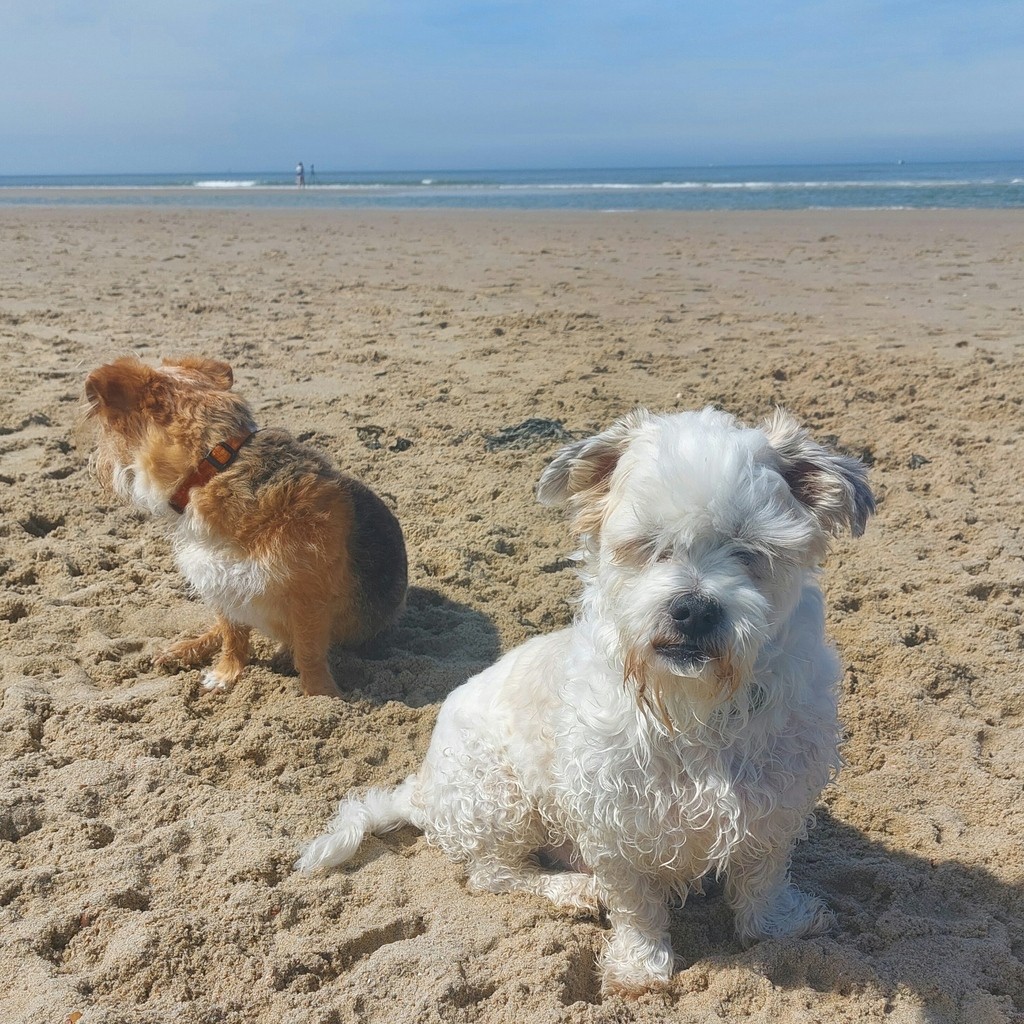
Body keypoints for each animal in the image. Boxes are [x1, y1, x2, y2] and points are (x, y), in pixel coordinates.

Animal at [83, 356, 409, 700]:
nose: (95, 464)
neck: (215, 469)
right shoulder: (221, 581)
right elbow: (232, 636)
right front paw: (225, 674)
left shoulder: (309, 599)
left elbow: (309, 652)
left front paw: (321, 697)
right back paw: (185, 649)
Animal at [294, 405, 872, 991]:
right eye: (648, 546)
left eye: (751, 551)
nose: (693, 609)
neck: (693, 707)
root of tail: (423, 793)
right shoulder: (612, 818)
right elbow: (635, 902)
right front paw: (641, 967)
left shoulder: (776, 801)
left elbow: (764, 877)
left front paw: (778, 926)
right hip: (500, 800)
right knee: (494, 874)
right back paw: (570, 887)